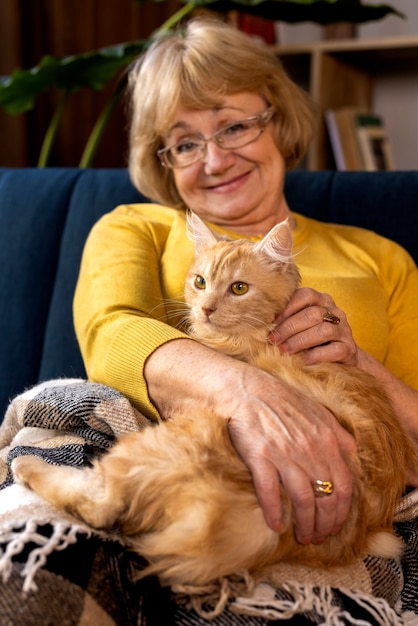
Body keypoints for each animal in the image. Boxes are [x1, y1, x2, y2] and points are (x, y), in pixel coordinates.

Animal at [13, 213, 414, 584]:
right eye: (200, 282)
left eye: (238, 288)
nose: (206, 308)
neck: (256, 333)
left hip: (181, 432)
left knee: (100, 504)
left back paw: (28, 466)